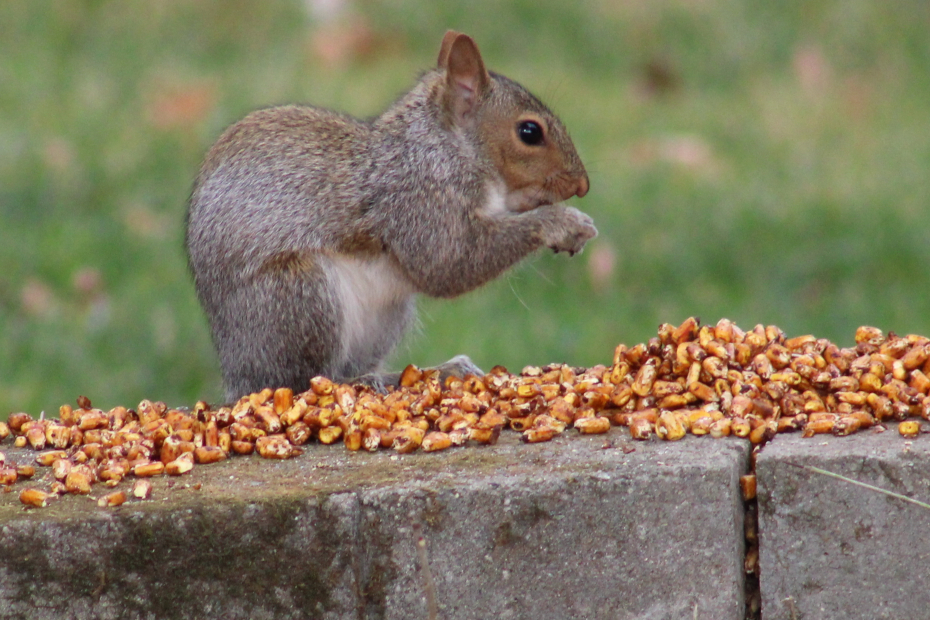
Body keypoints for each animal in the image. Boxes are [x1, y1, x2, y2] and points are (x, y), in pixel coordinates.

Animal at [185, 30, 600, 402]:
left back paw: (427, 372)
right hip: (298, 297)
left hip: (385, 317)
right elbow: (448, 264)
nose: (582, 184)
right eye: (529, 132)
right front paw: (562, 223)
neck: (442, 147)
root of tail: (237, 376)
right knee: (302, 381)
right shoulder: (415, 201)